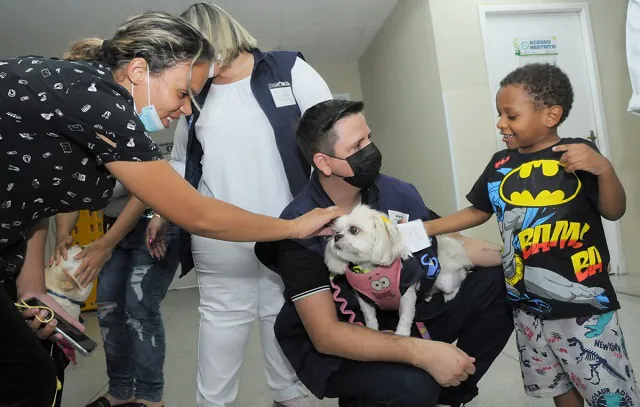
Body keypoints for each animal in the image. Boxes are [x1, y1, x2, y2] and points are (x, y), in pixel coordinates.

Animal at [324, 206, 470, 336]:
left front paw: (402, 333)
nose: (337, 237)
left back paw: (449, 295)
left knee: (460, 278)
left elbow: (405, 317)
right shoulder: (364, 299)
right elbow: (369, 317)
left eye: (353, 229)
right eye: (336, 232)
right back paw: (427, 296)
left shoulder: (407, 295)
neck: (371, 269)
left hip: (445, 281)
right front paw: (372, 330)